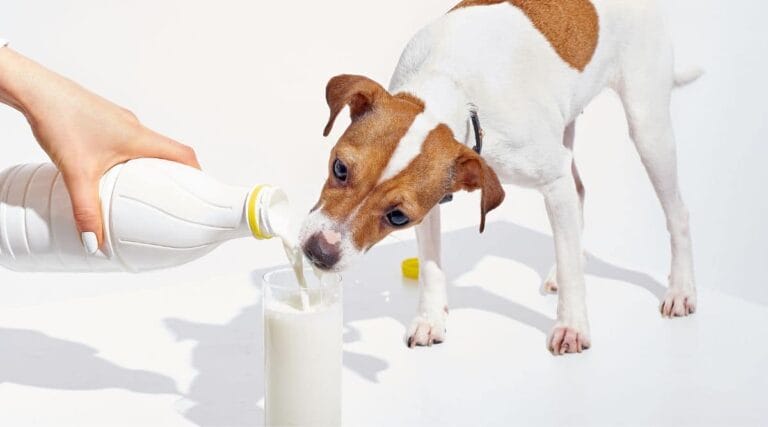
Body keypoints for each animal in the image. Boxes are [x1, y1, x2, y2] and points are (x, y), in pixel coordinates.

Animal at [300, 0, 704, 356]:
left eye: (397, 217)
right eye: (339, 168)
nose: (320, 251)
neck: (455, 86)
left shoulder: (550, 175)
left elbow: (573, 269)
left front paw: (572, 327)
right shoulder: (433, 204)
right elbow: (430, 266)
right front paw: (430, 320)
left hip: (647, 127)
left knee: (677, 213)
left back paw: (681, 290)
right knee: (578, 195)